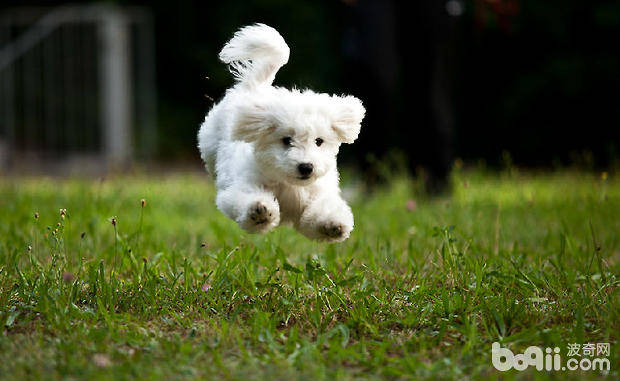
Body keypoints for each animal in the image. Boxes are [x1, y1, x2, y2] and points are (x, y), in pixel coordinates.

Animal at [197, 24, 364, 240]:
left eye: (319, 141)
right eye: (286, 140)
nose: (306, 167)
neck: (288, 184)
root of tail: (255, 87)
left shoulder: (316, 195)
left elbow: (318, 215)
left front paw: (333, 224)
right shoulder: (241, 188)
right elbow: (245, 200)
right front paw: (259, 211)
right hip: (209, 142)